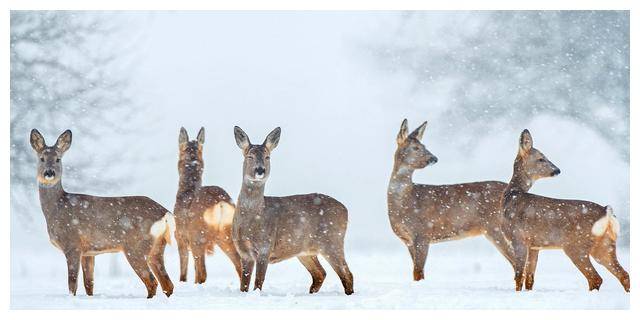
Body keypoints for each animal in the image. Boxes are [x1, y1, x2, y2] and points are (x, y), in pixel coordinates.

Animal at [29, 129, 174, 298]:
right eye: (42, 158)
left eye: (58, 159)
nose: (49, 172)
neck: (57, 207)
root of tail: (165, 213)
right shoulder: (88, 252)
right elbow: (89, 284)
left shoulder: (72, 244)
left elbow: (72, 283)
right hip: (157, 247)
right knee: (167, 284)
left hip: (135, 246)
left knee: (152, 282)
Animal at [172, 126, 242, 284]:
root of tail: (220, 202)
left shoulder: (180, 237)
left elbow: (184, 273)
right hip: (227, 235)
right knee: (240, 263)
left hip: (198, 236)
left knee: (203, 273)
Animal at [232, 125, 356, 296]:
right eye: (249, 156)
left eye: (268, 157)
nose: (260, 170)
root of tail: (346, 209)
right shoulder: (243, 252)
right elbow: (243, 284)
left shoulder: (265, 246)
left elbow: (258, 282)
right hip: (306, 251)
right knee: (320, 273)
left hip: (333, 240)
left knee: (347, 273)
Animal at [384, 119, 516, 280]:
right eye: (415, 147)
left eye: (424, 146)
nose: (433, 158)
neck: (405, 201)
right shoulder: (407, 240)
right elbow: (416, 272)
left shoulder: (422, 233)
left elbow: (418, 272)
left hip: (496, 227)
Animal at [500, 130, 632, 292]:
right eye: (541, 159)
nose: (557, 170)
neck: (512, 196)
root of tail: (606, 212)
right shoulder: (534, 245)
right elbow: (530, 278)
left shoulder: (518, 237)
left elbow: (519, 275)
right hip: (605, 245)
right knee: (623, 274)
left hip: (576, 246)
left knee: (595, 278)